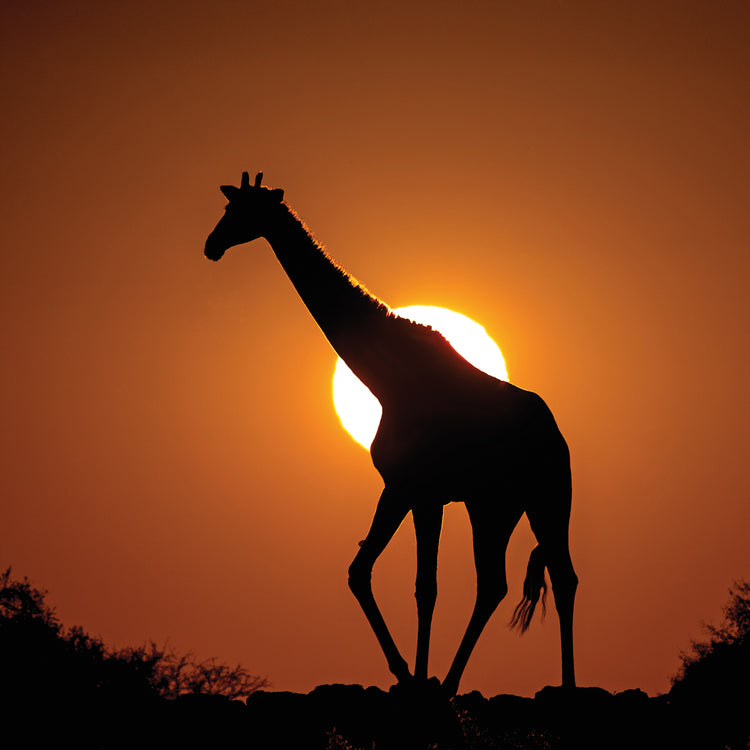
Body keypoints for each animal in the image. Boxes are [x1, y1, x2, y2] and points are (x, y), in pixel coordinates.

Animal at [204, 171, 578, 696]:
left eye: (245, 211)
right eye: (227, 207)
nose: (211, 246)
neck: (385, 379)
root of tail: (557, 437)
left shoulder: (412, 489)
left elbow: (408, 583)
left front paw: (410, 674)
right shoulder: (415, 491)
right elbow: (382, 577)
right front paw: (414, 675)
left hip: (546, 498)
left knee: (558, 578)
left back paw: (560, 686)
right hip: (497, 505)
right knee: (500, 583)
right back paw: (457, 682)